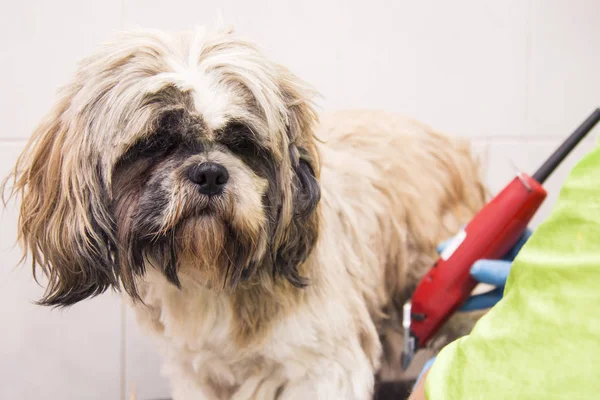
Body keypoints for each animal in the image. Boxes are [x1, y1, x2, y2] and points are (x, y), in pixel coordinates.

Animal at [5, 26, 488, 398]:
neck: (216, 275)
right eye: (155, 142)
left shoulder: (323, 368)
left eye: (240, 142)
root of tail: (455, 146)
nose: (210, 172)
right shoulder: (196, 373)